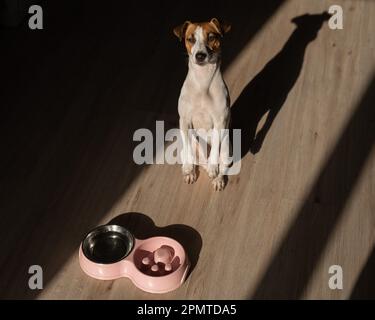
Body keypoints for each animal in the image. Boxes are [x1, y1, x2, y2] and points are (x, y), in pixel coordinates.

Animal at [174, 18, 232, 190]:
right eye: (190, 39)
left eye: (211, 37)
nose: (200, 55)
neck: (202, 82)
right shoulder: (184, 121)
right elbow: (188, 147)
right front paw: (188, 169)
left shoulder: (220, 121)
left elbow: (215, 147)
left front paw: (214, 168)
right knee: (195, 158)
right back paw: (190, 171)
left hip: (227, 150)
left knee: (221, 164)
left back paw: (217, 177)